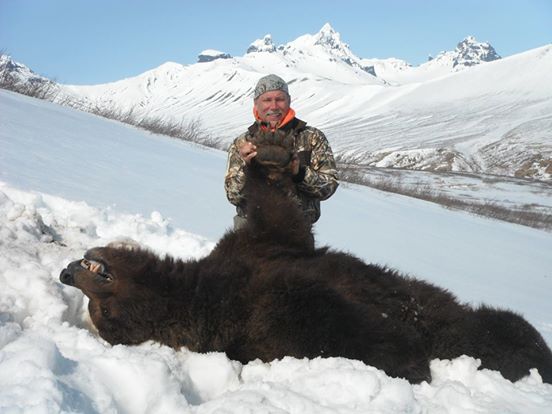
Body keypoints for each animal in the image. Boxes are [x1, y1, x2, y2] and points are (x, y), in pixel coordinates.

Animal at [59, 136, 552, 384]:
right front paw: (405, 353)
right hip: (457, 331)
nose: (66, 272)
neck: (199, 288)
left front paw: (265, 152)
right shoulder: (257, 314)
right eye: (103, 317)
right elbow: (328, 325)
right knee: (482, 335)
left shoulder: (262, 244)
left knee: (493, 321)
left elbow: (275, 207)